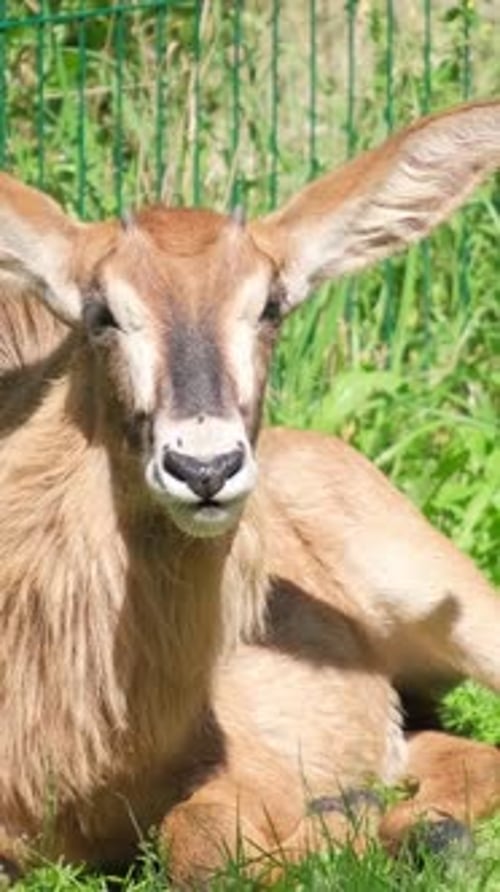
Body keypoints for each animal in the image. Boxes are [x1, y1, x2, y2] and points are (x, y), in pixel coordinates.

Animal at [0, 100, 500, 887]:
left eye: (269, 306)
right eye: (101, 312)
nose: (204, 468)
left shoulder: (243, 767)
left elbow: (197, 845)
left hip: (457, 610)